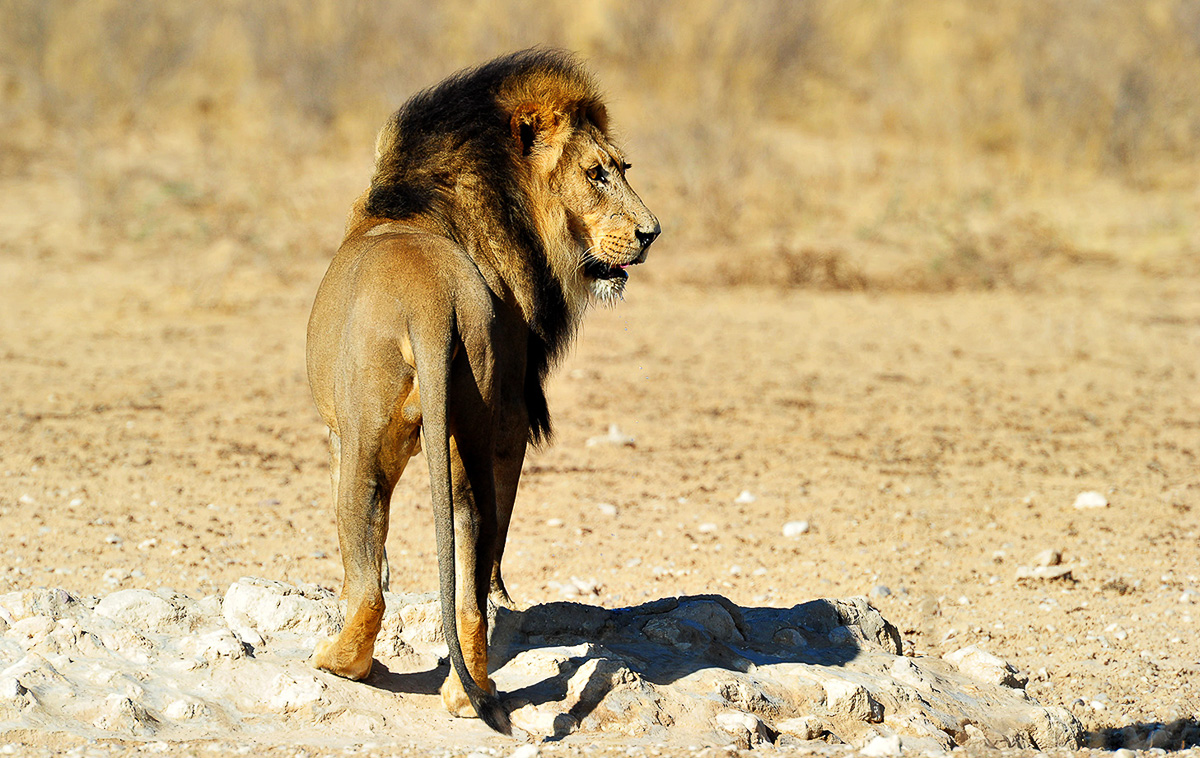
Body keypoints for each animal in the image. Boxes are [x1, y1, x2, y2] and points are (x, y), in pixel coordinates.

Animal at [304, 50, 659, 734]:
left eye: (619, 170)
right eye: (599, 173)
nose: (652, 233)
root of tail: (430, 302)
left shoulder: (339, 436)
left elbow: (366, 557)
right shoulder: (513, 410)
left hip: (366, 438)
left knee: (369, 578)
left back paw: (340, 661)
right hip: (469, 426)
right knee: (471, 553)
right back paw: (469, 692)